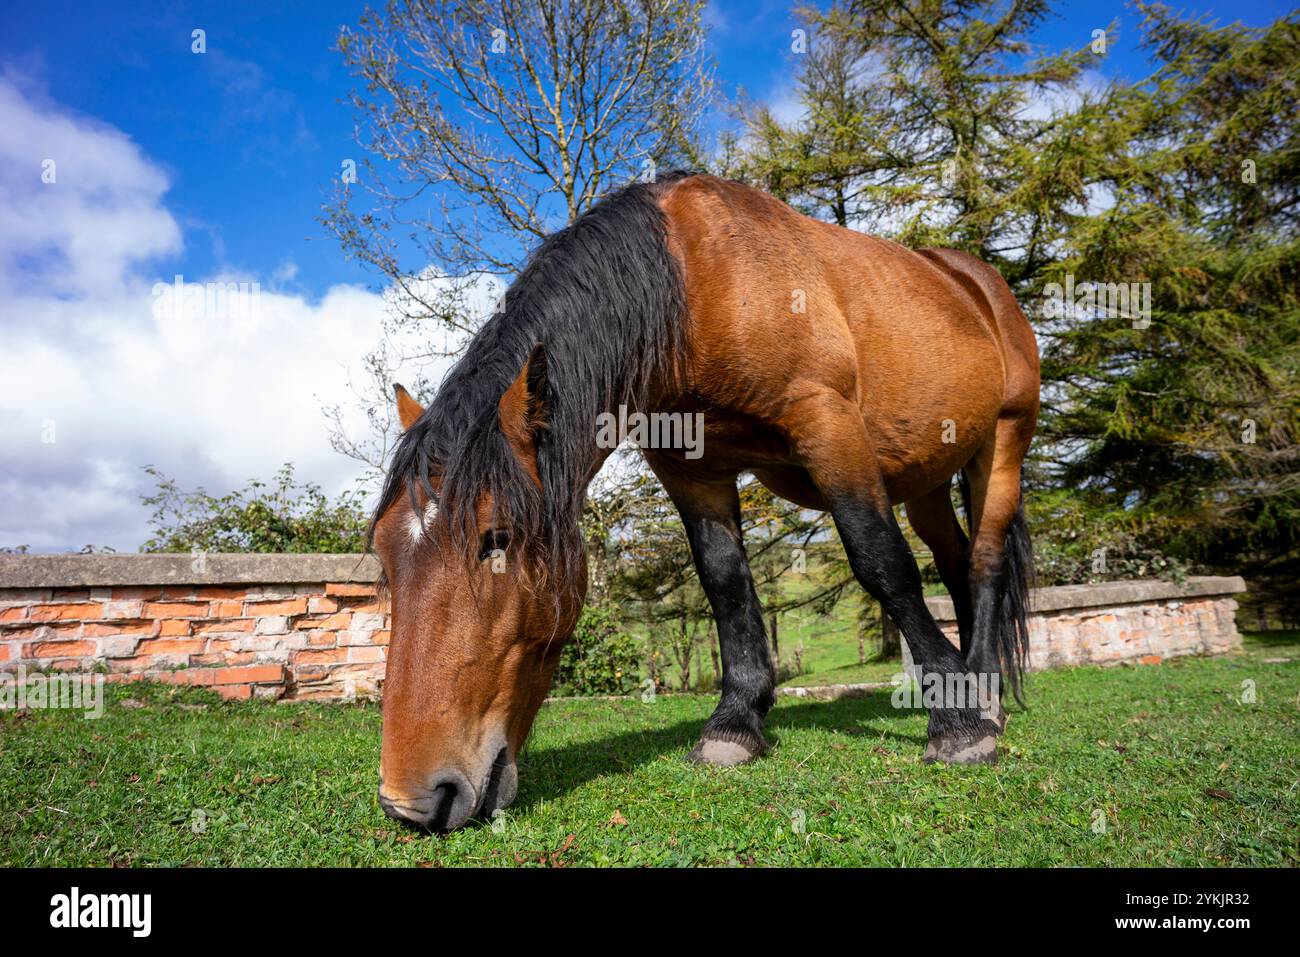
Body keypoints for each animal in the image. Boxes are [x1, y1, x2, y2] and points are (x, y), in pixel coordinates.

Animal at [371, 171, 1040, 832]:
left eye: (497, 540)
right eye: (383, 556)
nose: (414, 803)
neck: (696, 279)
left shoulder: (829, 425)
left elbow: (882, 563)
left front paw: (955, 726)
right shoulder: (690, 468)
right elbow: (725, 583)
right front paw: (736, 723)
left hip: (1002, 445)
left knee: (983, 563)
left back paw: (983, 698)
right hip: (928, 480)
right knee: (954, 561)